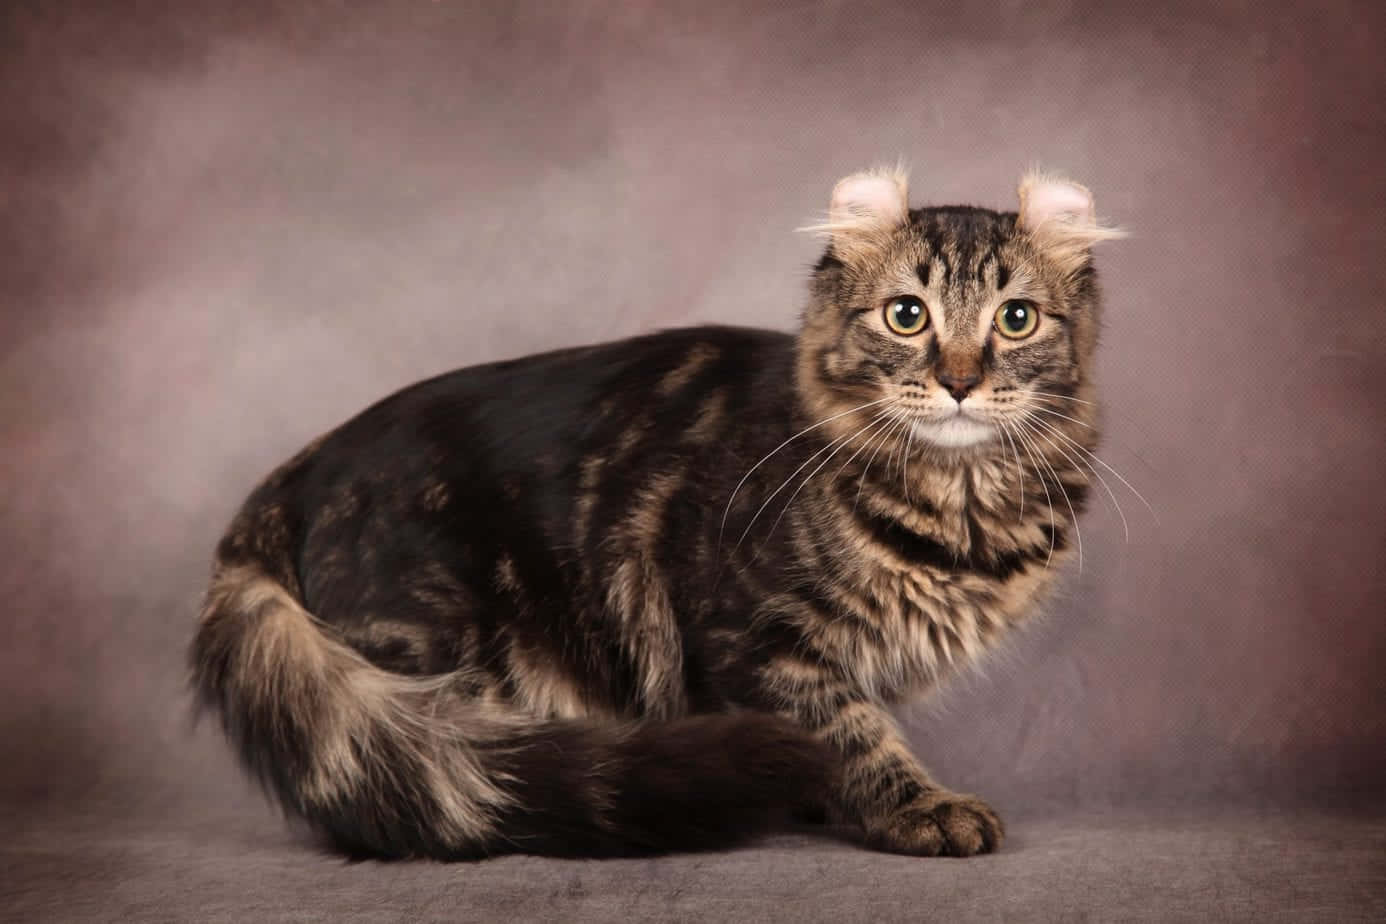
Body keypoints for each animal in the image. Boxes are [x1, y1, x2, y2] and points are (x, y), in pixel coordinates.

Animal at [189, 166, 1119, 858]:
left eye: (1016, 319)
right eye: (907, 315)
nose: (960, 381)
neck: (955, 506)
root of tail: (295, 473)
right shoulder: (754, 640)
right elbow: (851, 731)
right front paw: (916, 807)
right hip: (438, 660)